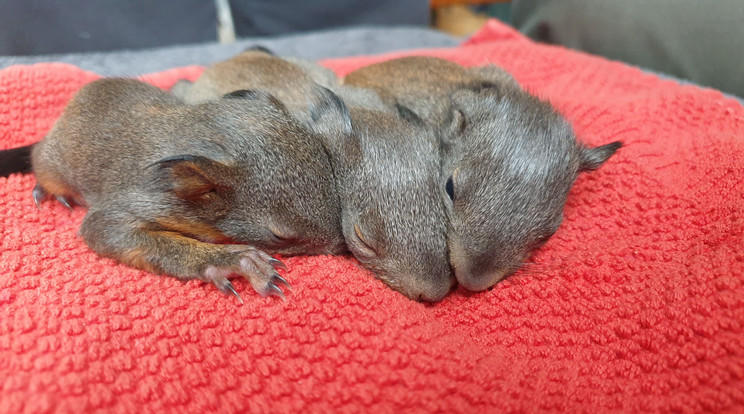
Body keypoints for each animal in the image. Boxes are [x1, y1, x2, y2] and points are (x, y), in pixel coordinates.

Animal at [26, 77, 346, 302]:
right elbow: (105, 229)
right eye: (279, 235)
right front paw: (235, 261)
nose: (340, 247)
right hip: (51, 162)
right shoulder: (145, 200)